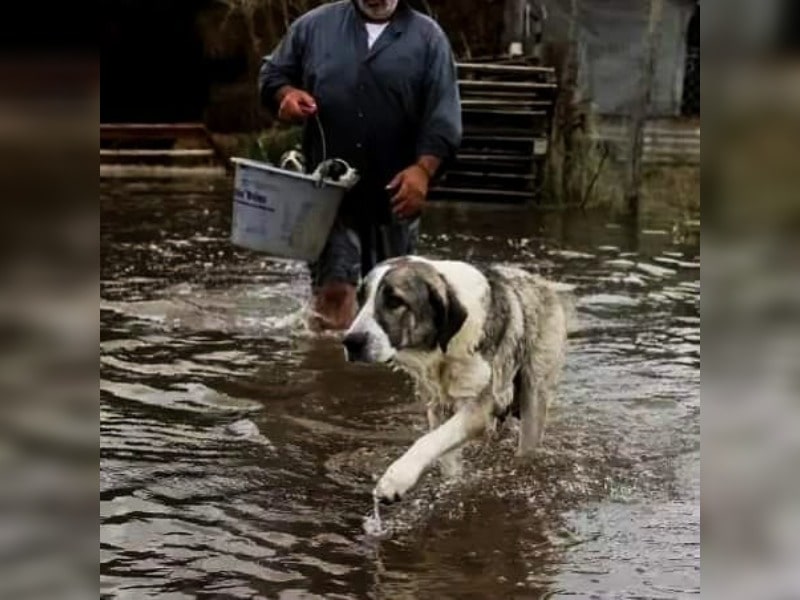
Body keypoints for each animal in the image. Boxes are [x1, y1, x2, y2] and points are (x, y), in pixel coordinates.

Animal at [344, 255, 568, 504]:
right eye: (361, 299)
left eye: (394, 301)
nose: (351, 341)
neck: (443, 347)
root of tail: (538, 281)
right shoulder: (437, 405)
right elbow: (444, 451)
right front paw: (452, 485)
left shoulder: (478, 408)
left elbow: (428, 441)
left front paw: (396, 479)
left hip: (534, 392)